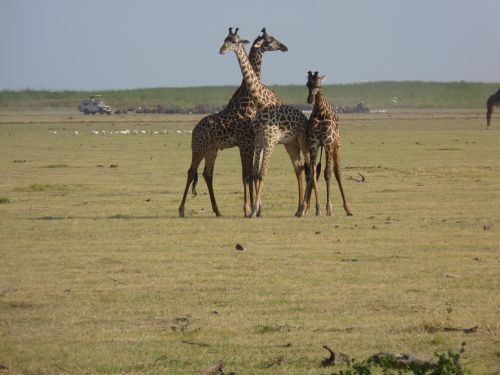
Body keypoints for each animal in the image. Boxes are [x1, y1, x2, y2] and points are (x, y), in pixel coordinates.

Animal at [179, 28, 290, 217]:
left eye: (235, 41)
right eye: (270, 40)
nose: (284, 47)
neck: (248, 99)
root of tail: (194, 130)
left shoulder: (251, 143)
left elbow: (251, 174)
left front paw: (255, 209)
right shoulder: (245, 143)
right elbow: (247, 175)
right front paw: (249, 209)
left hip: (212, 149)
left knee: (207, 174)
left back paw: (218, 211)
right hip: (199, 147)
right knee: (191, 171)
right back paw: (182, 210)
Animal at [220, 27, 316, 219]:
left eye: (235, 41)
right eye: (226, 39)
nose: (284, 47)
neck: (260, 102)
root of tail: (305, 118)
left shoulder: (268, 140)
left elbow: (261, 174)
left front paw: (255, 210)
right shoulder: (259, 141)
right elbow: (255, 173)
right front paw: (254, 210)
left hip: (303, 142)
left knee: (310, 169)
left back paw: (309, 208)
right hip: (290, 144)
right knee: (300, 169)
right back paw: (299, 209)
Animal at [298, 71, 354, 217]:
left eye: (318, 85)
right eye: (307, 84)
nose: (310, 99)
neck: (321, 112)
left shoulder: (328, 142)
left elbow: (327, 173)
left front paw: (329, 208)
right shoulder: (314, 144)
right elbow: (312, 173)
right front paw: (305, 208)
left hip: (336, 146)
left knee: (337, 171)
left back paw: (348, 209)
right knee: (314, 171)